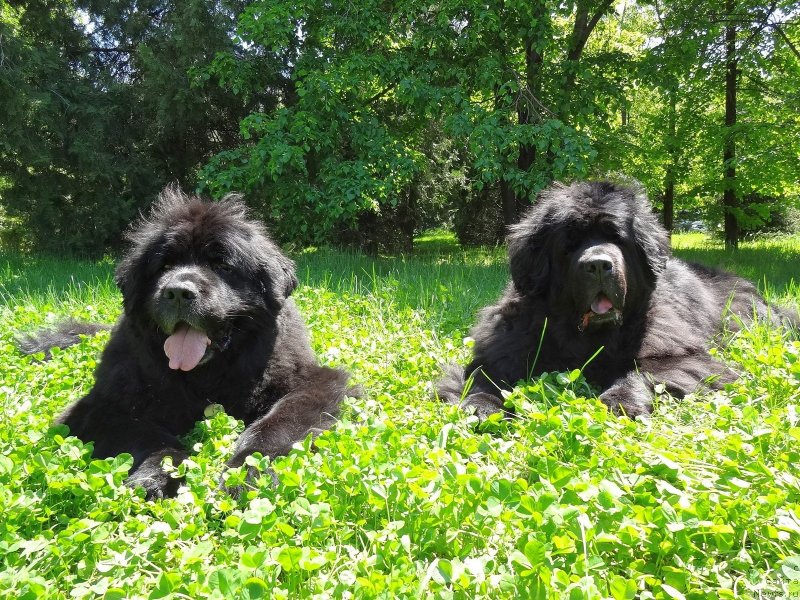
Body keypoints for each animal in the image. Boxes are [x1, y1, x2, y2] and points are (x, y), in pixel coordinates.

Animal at [19, 186, 354, 496]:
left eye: (222, 266)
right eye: (164, 266)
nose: (178, 291)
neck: (206, 377)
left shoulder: (315, 383)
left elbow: (278, 423)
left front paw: (248, 471)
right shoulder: (102, 405)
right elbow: (145, 433)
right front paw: (159, 472)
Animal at [440, 180, 796, 420]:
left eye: (618, 239)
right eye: (569, 243)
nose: (599, 264)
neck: (589, 337)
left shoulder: (684, 356)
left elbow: (644, 371)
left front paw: (620, 400)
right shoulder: (506, 347)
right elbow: (485, 376)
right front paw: (480, 406)